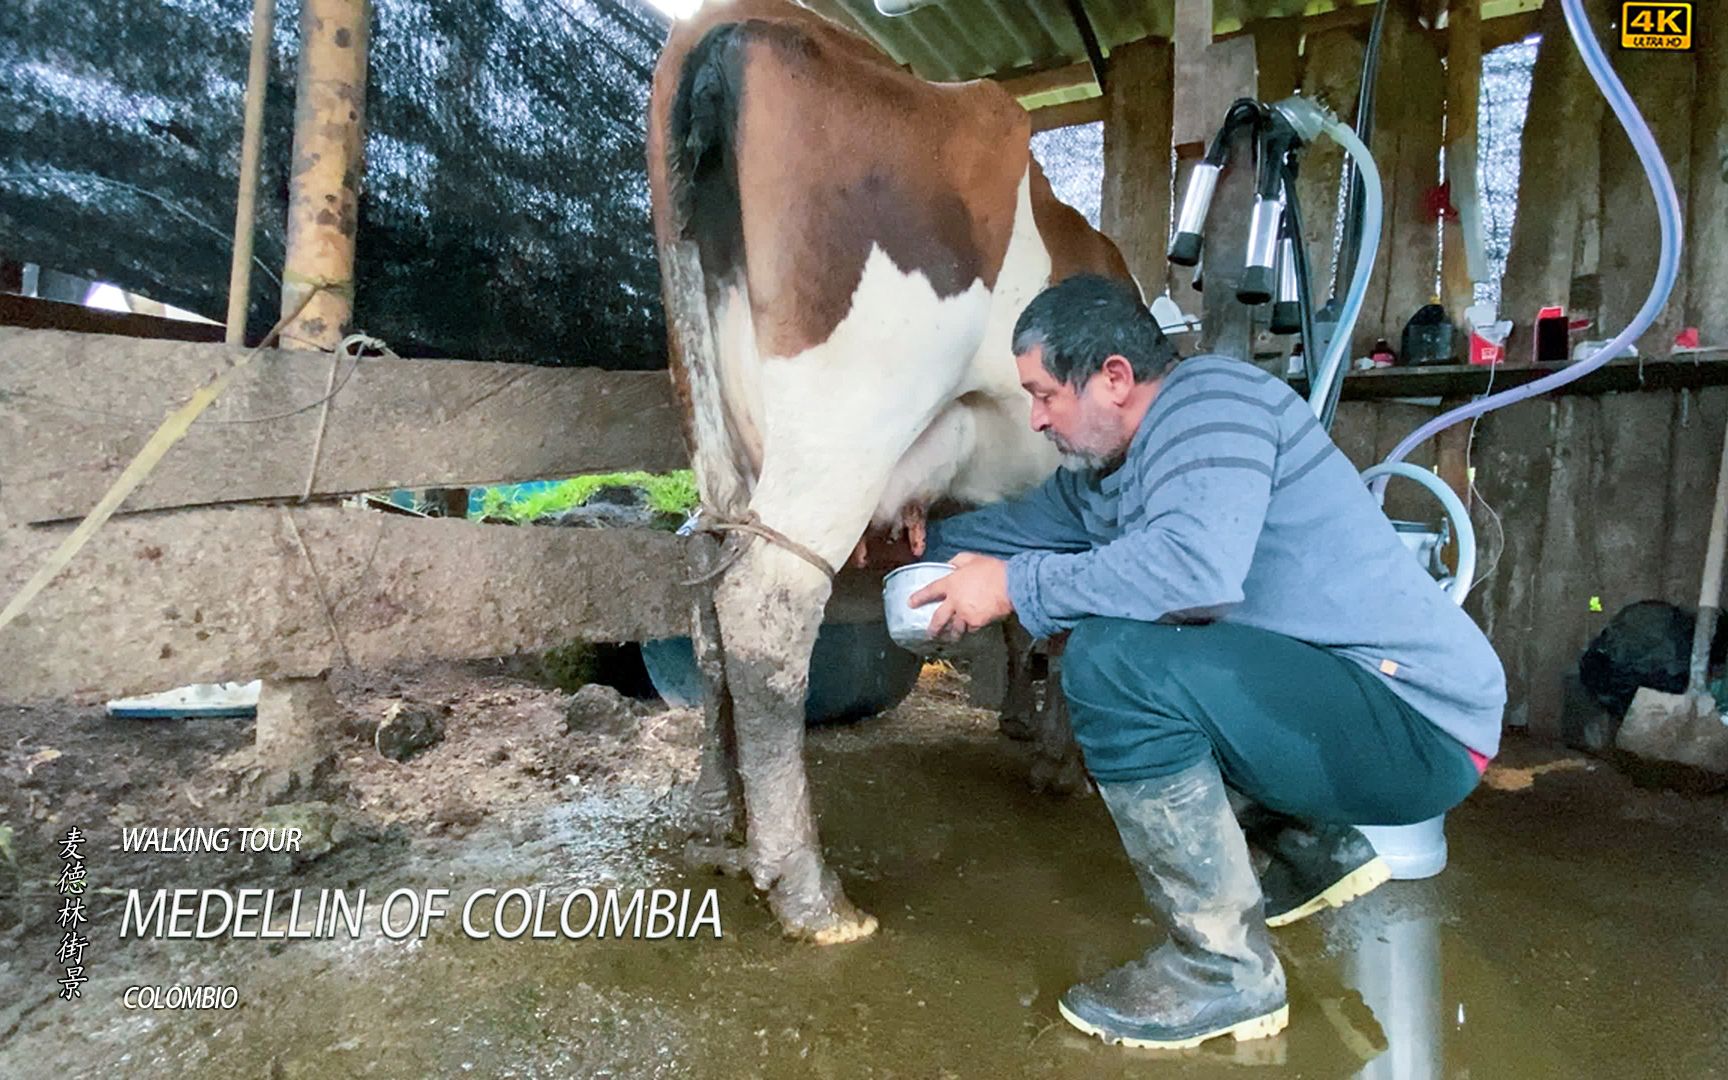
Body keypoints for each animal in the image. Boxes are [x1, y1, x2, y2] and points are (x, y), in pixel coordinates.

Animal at [649, 0, 1133, 940]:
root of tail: (728, 23)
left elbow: (1024, 618)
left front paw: (1023, 728)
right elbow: (1063, 626)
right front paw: (1059, 760)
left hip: (711, 428)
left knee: (706, 592)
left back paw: (714, 816)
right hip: (846, 415)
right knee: (766, 604)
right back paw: (806, 888)